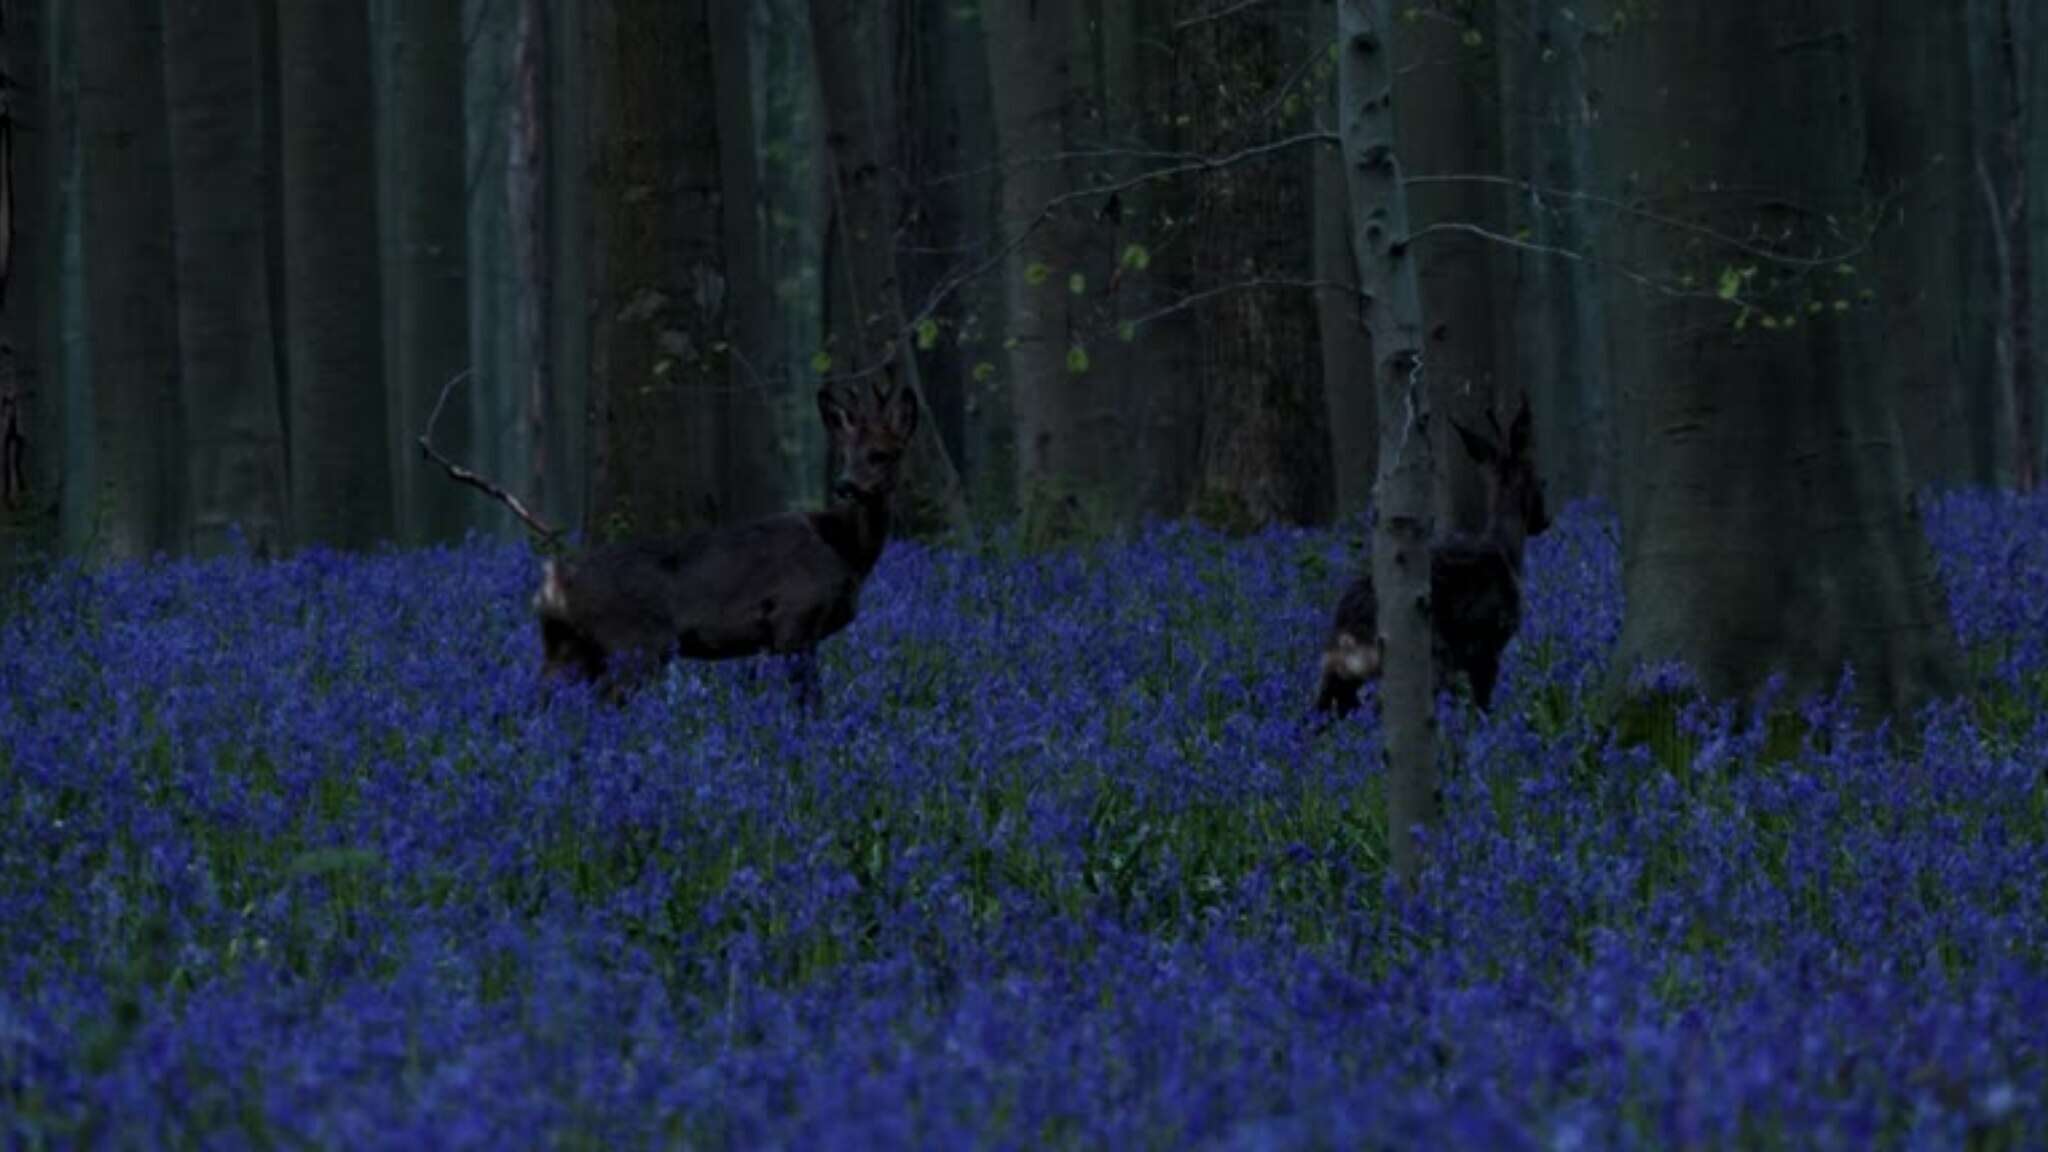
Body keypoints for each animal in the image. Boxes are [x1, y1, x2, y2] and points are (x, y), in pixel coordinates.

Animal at [528, 362, 921, 705]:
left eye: (882, 454)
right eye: (844, 454)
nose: (845, 486)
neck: (844, 549)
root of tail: (553, 583)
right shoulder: (793, 617)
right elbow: (809, 702)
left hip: (568, 646)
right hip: (633, 642)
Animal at [1310, 397, 1548, 717]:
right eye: (1541, 479)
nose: (1543, 521)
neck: (1507, 552)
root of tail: (1346, 634)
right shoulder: (1488, 646)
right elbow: (1483, 705)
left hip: (1334, 674)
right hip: (1427, 659)